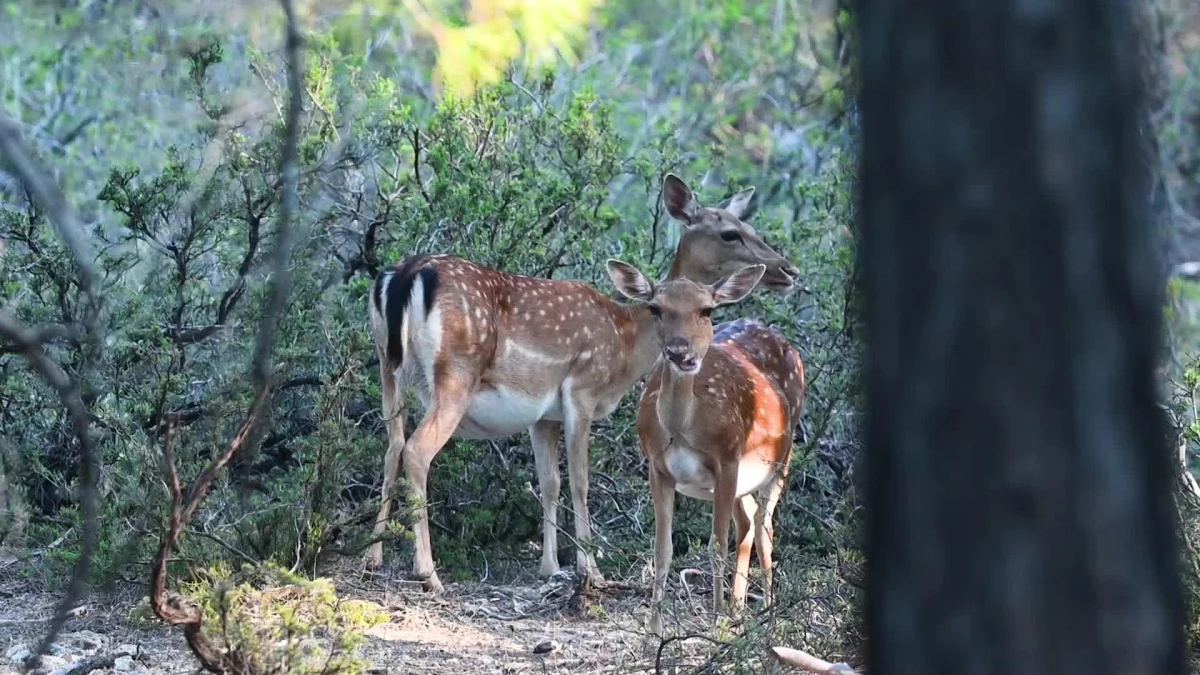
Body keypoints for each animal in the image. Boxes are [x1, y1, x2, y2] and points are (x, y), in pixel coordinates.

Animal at [362, 171, 796, 588]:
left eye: (748, 224)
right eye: (730, 233)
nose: (787, 270)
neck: (626, 342)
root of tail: (402, 279)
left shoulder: (543, 415)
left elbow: (549, 482)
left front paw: (551, 567)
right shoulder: (583, 389)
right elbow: (581, 482)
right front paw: (591, 571)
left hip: (388, 366)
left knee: (392, 446)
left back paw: (373, 555)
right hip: (456, 373)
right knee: (417, 450)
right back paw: (427, 573)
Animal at [609, 258, 806, 634]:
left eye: (707, 310)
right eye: (655, 308)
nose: (679, 351)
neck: (683, 427)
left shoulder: (727, 458)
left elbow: (716, 546)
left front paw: (716, 623)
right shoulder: (657, 467)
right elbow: (663, 549)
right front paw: (653, 631)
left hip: (781, 460)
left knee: (764, 526)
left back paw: (768, 615)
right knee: (747, 524)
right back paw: (740, 610)